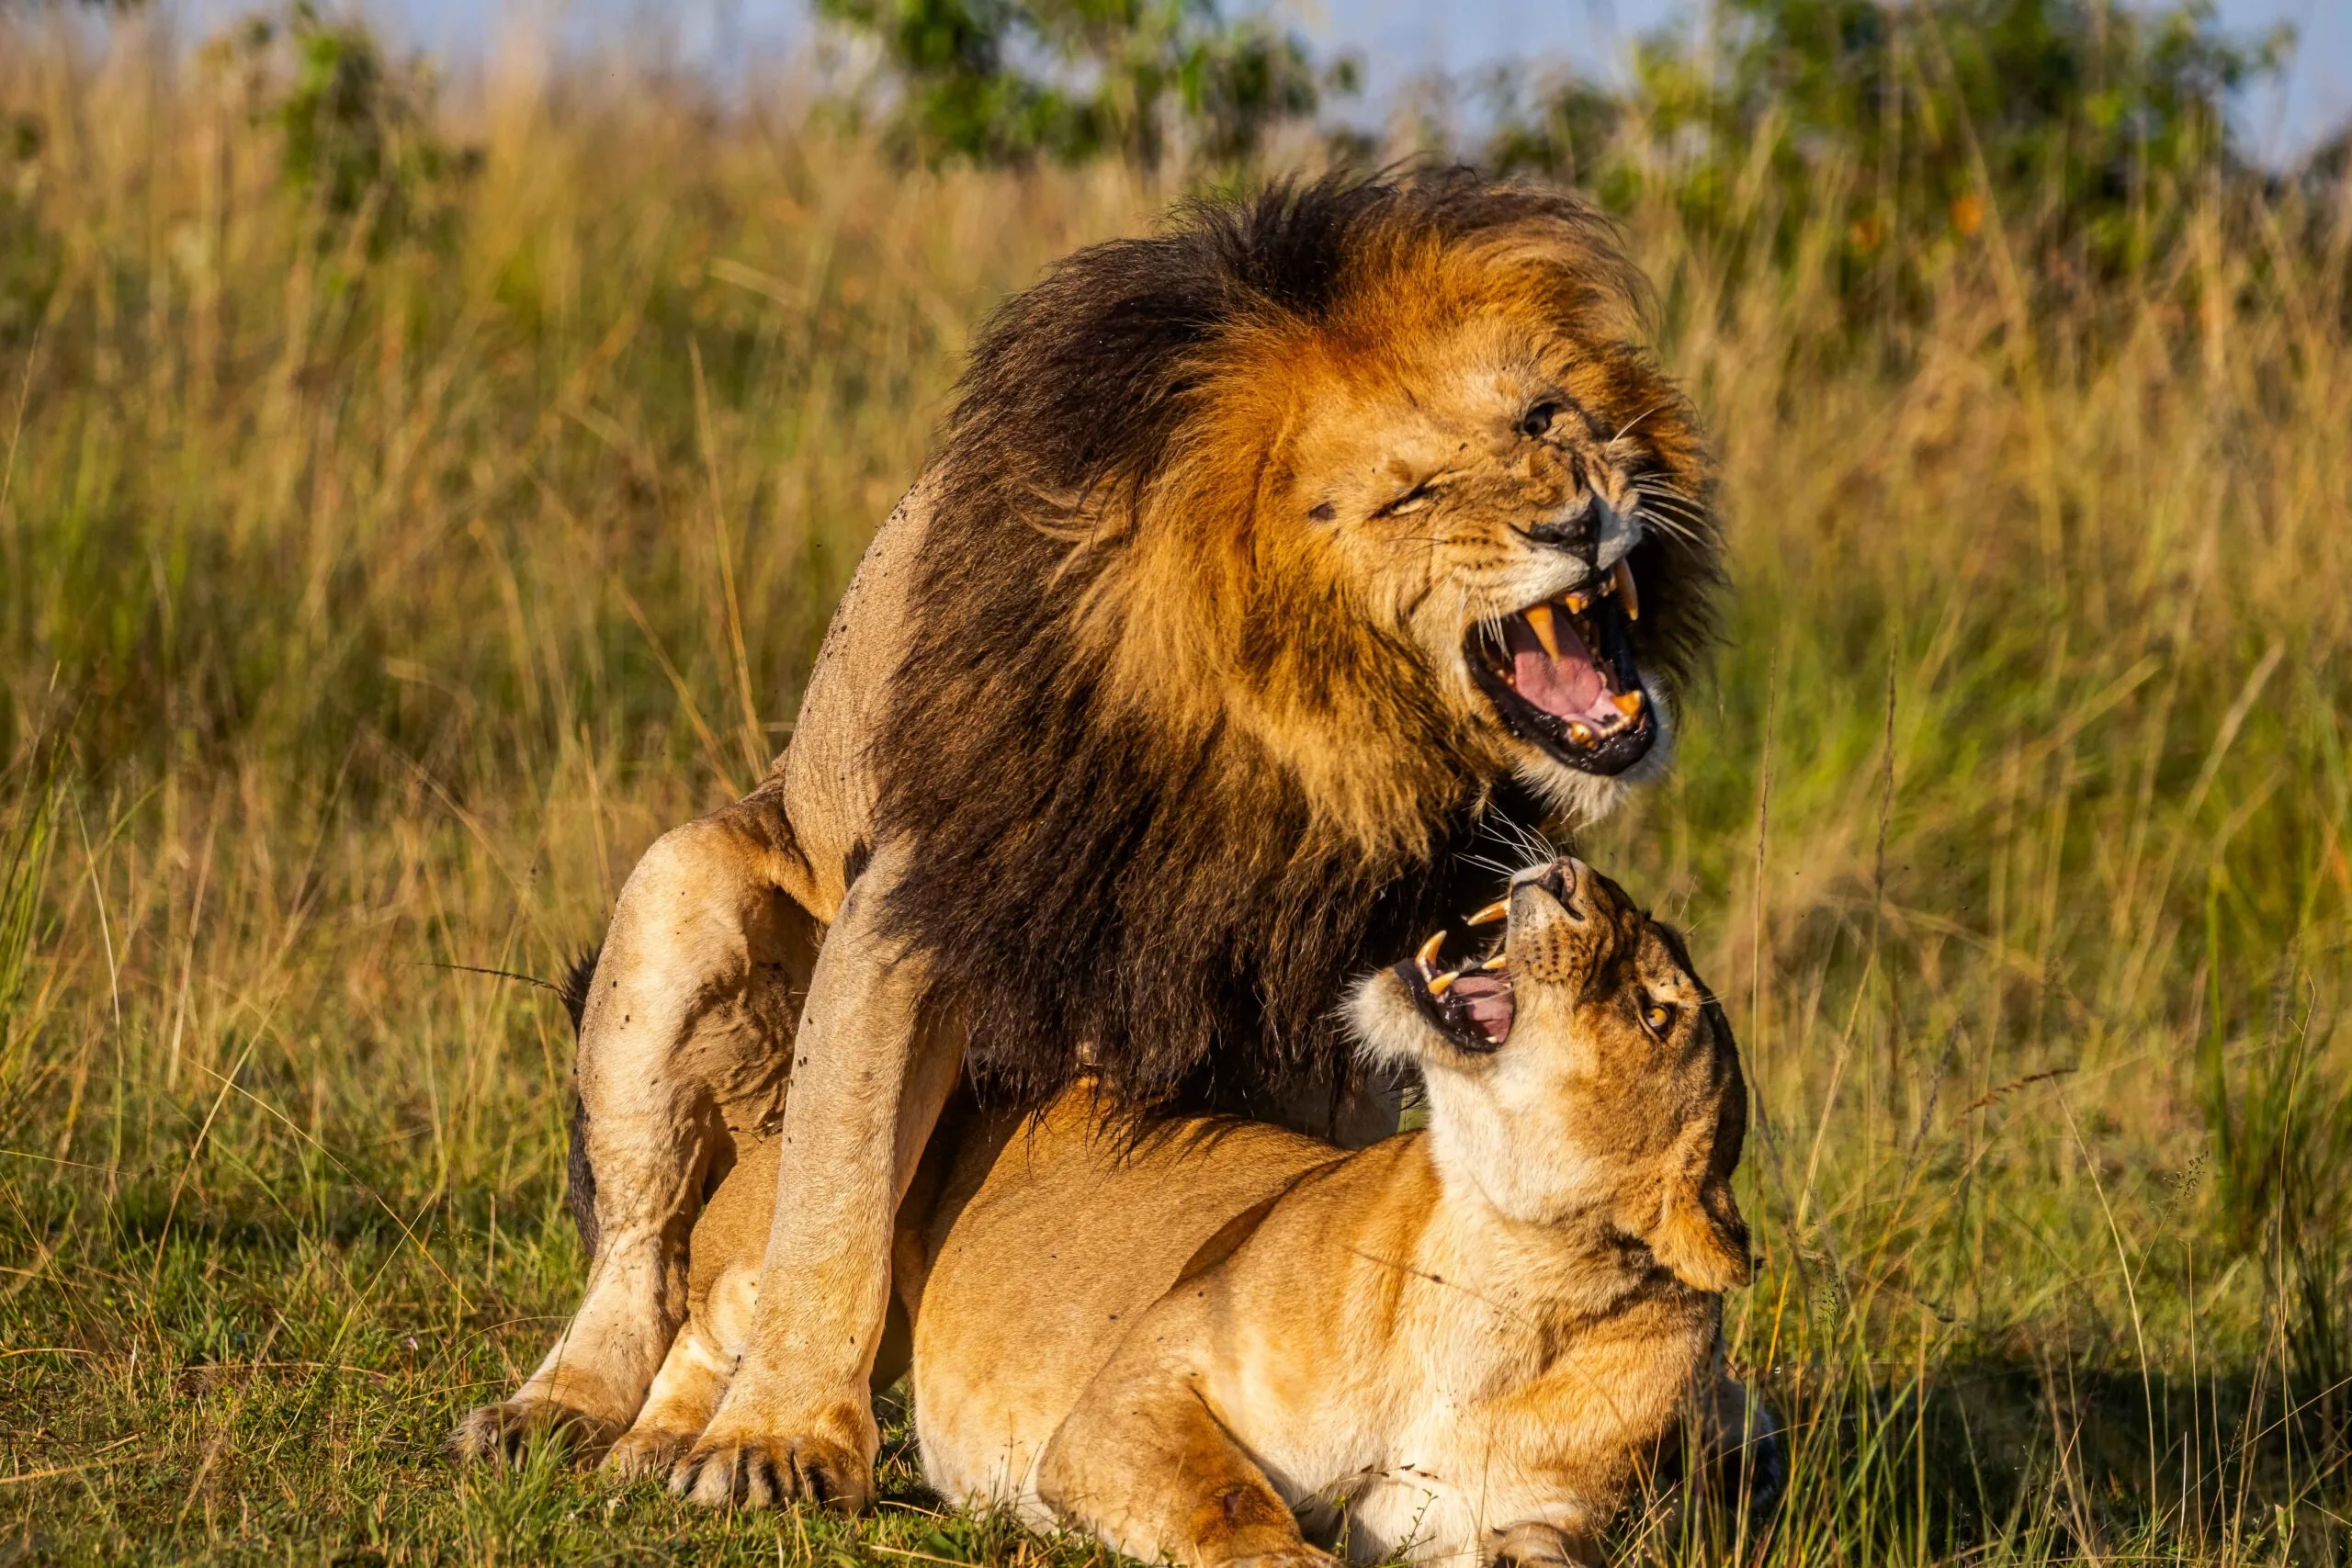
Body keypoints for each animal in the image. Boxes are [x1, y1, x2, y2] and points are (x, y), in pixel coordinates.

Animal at [450, 169, 1725, 1512]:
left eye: (1546, 418)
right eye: (1410, 495)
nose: (1579, 520)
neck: (1287, 734)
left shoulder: (1320, 978)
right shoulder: (918, 897)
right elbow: (834, 1195)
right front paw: (780, 1442)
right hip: (681, 890)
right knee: (646, 1246)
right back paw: (572, 1415)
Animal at [617, 857, 1770, 1567]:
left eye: (1653, 1012)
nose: (1570, 874)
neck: (1498, 1284)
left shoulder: (1531, 1522)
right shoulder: (1138, 1390)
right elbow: (1223, 1499)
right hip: (824, 1222)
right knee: (712, 1325)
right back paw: (666, 1452)